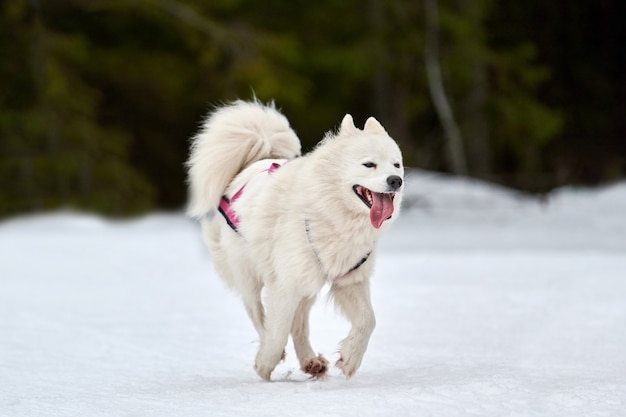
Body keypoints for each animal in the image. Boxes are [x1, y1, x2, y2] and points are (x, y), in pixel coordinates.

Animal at [185, 101, 402, 380]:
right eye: (369, 164)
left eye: (396, 165)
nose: (396, 181)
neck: (333, 216)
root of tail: (256, 161)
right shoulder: (285, 283)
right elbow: (277, 331)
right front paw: (265, 365)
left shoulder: (350, 280)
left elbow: (368, 320)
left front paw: (350, 358)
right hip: (250, 273)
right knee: (258, 314)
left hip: (308, 282)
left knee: (298, 322)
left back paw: (311, 361)